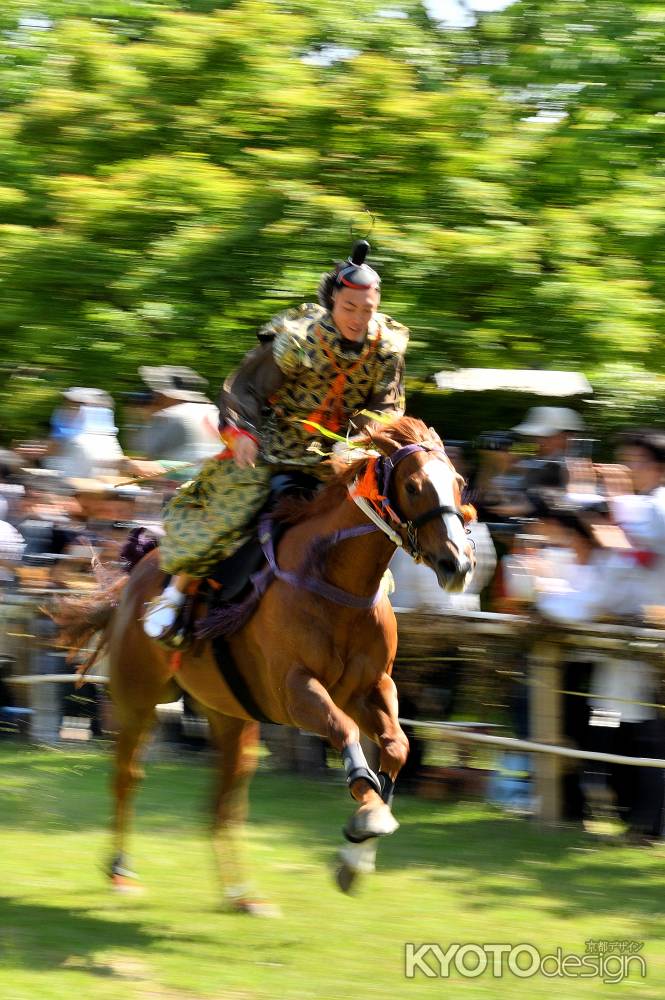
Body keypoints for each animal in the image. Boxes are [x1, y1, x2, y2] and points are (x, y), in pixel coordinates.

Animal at [54, 412, 474, 908]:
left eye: (460, 484)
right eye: (412, 486)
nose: (458, 564)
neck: (336, 583)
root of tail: (132, 581)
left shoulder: (373, 686)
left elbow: (396, 746)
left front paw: (357, 855)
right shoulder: (294, 691)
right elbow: (345, 732)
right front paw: (365, 818)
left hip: (230, 714)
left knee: (224, 800)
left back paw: (241, 893)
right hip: (136, 696)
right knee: (128, 776)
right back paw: (120, 870)